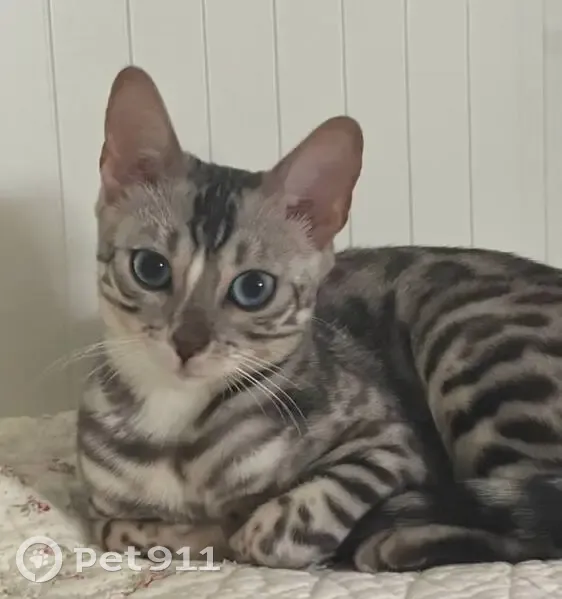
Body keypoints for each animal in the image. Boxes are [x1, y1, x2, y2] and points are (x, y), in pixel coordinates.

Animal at [77, 65, 562, 573]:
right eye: (150, 268)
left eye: (253, 288)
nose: (187, 343)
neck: (174, 421)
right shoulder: (101, 509)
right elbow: (124, 530)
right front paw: (198, 532)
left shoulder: (393, 442)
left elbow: (278, 528)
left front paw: (245, 528)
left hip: (472, 345)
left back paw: (399, 542)